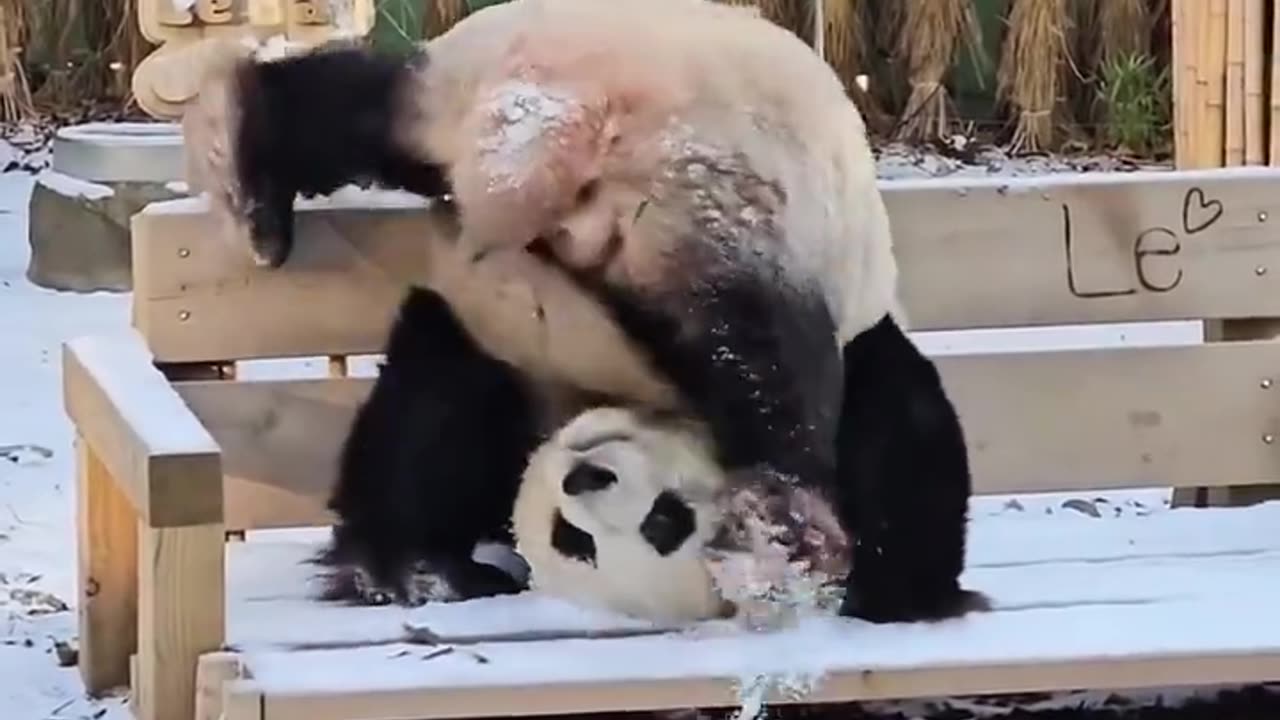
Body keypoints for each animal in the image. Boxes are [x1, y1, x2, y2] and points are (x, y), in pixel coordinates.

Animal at [180, 0, 983, 620]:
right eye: (587, 539)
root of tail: (569, 129)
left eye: (660, 523)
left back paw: (246, 162)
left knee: (360, 109)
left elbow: (432, 406)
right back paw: (786, 518)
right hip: (724, 206)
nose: (585, 480)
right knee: (762, 358)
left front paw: (407, 565)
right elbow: (906, 448)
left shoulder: (501, 351)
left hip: (484, 76)